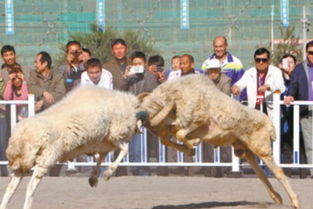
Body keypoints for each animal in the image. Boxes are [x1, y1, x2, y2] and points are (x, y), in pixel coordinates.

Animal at [0, 85, 139, 209]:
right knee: (30, 186)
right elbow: (124, 150)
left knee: (11, 188)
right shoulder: (113, 135)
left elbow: (101, 157)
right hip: (45, 159)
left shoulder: (99, 142)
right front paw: (108, 173)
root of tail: (21, 136)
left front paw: (94, 177)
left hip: (22, 165)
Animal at [138, 74, 298, 209]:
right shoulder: (175, 127)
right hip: (245, 151)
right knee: (261, 174)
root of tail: (270, 125)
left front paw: (193, 145)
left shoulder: (198, 120)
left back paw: (295, 202)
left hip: (262, 149)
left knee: (278, 172)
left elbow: (180, 134)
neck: (177, 94)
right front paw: (191, 147)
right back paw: (277, 198)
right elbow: (168, 139)